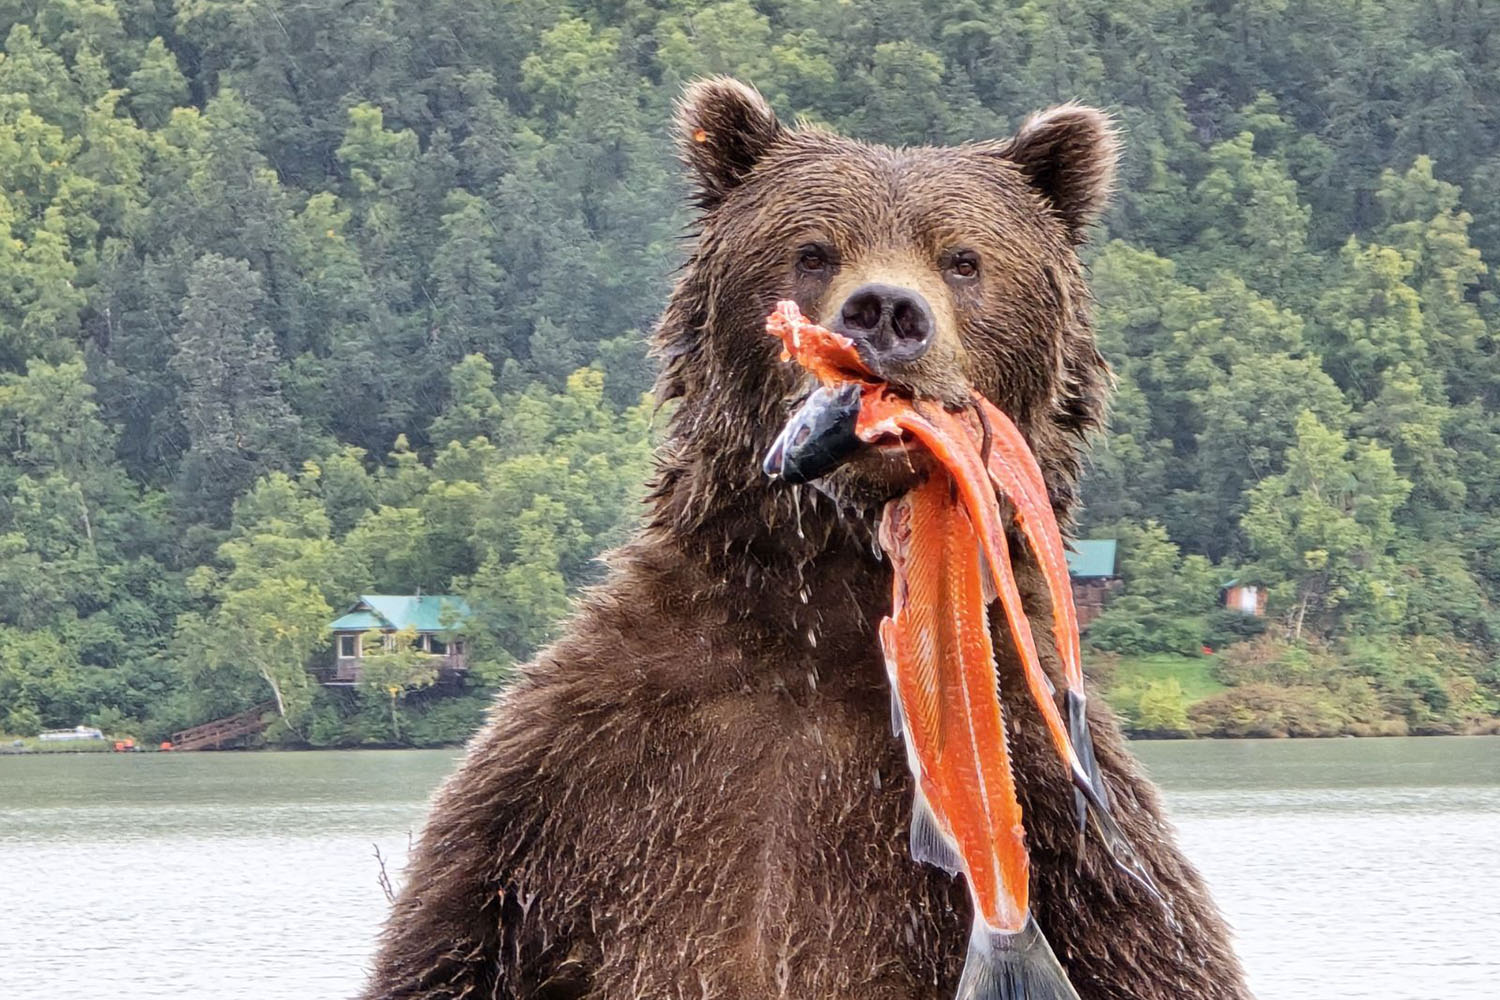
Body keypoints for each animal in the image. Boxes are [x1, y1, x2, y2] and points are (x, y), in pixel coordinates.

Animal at [362, 78, 1254, 1000]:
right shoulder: (564, 789)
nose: (887, 311)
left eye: (963, 259)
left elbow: (1157, 952)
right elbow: (447, 942)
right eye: (815, 251)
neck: (821, 602)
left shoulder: (1069, 827)